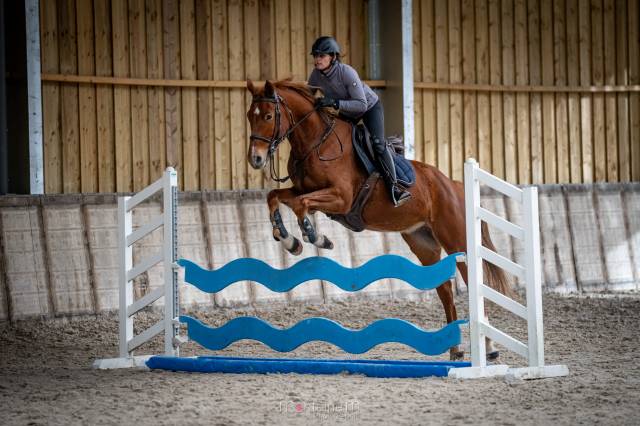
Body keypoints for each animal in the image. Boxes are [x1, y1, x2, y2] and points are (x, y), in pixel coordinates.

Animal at [245, 79, 510, 360]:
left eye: (269, 116)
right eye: (250, 116)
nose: (256, 159)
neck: (316, 142)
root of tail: (456, 185)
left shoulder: (341, 198)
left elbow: (301, 205)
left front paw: (316, 238)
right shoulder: (301, 190)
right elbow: (275, 197)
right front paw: (288, 240)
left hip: (458, 241)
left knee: (473, 284)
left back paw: (489, 349)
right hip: (424, 244)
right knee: (446, 291)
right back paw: (455, 350)